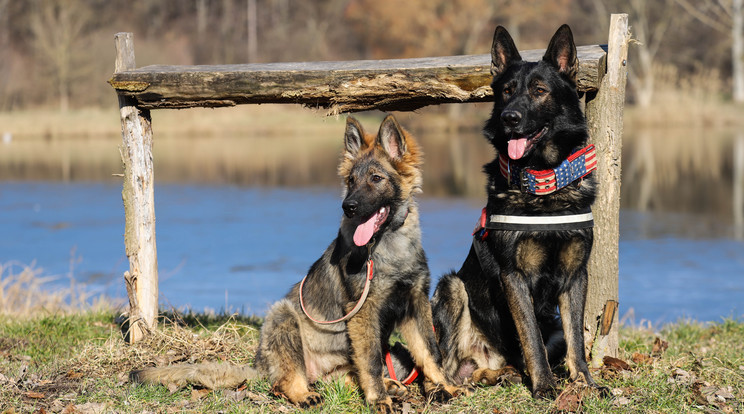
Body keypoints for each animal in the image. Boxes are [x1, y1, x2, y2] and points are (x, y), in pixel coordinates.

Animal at [430, 25, 604, 398]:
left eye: (539, 91)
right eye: (507, 91)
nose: (509, 118)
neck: (543, 185)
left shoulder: (575, 275)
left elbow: (576, 341)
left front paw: (584, 382)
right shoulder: (515, 277)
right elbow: (531, 337)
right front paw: (545, 386)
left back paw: (498, 376)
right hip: (452, 288)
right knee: (446, 368)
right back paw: (452, 389)